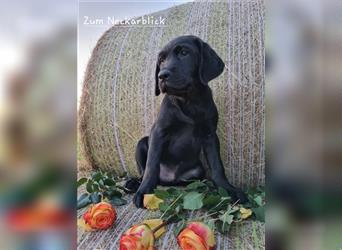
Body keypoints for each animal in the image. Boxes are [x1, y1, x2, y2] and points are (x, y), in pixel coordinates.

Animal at [131, 34, 246, 207]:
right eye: (161, 60)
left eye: (184, 53)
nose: (161, 75)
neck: (188, 100)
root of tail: (169, 179)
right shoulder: (159, 132)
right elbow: (151, 166)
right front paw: (144, 192)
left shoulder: (210, 135)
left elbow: (217, 166)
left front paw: (228, 189)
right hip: (142, 143)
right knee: (144, 171)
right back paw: (133, 184)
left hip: (198, 170)